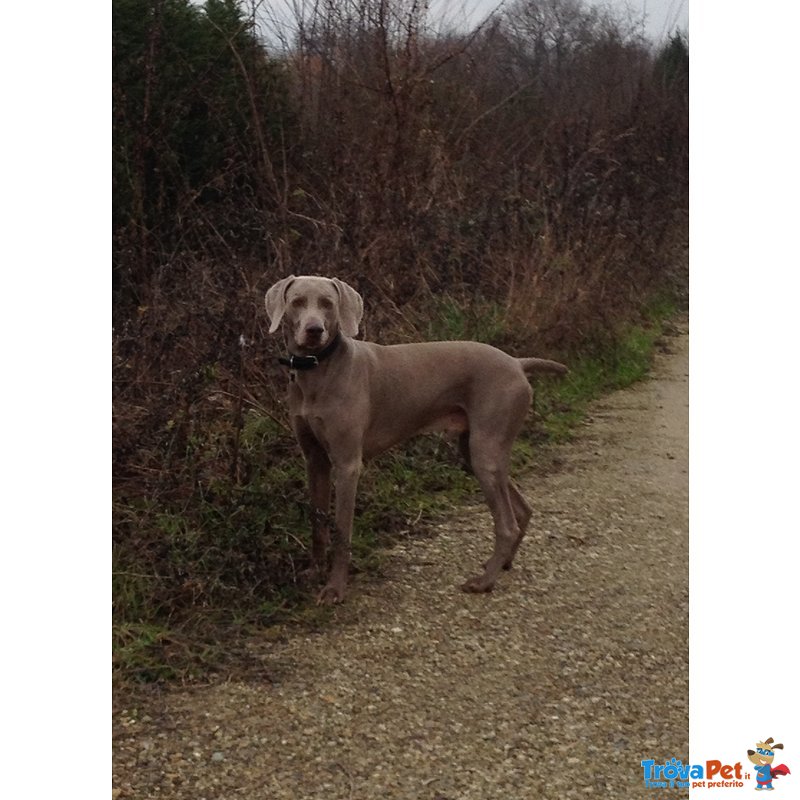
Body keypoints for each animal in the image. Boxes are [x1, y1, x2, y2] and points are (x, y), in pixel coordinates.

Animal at [266, 276, 564, 600]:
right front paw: (313, 572)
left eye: (328, 303)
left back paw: (484, 581)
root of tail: (517, 362)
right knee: (522, 509)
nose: (314, 330)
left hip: (485, 449)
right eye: (297, 302)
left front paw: (335, 588)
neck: (318, 371)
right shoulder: (315, 460)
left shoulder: (347, 464)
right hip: (476, 450)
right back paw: (502, 563)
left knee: (507, 523)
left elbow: (342, 530)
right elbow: (317, 522)